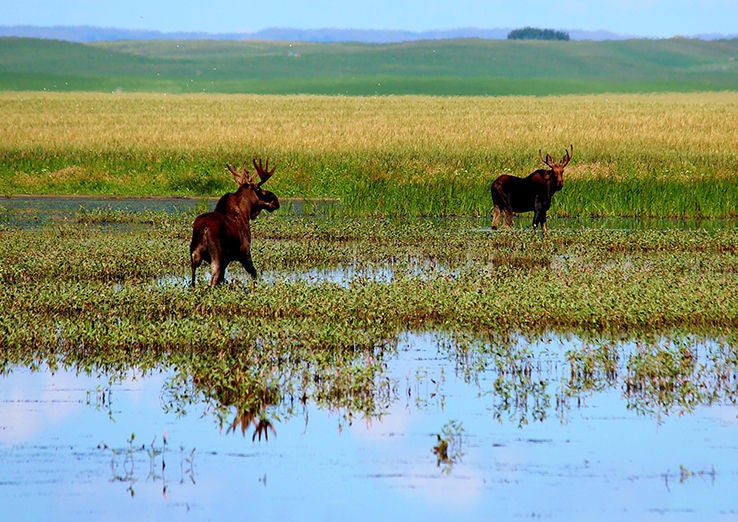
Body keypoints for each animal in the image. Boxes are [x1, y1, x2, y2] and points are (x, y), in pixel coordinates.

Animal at [190, 158, 279, 287]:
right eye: (258, 188)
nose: (276, 200)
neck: (246, 212)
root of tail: (204, 230)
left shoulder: (226, 260)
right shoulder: (244, 252)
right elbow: (254, 274)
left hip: (195, 255)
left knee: (193, 280)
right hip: (216, 255)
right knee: (213, 280)